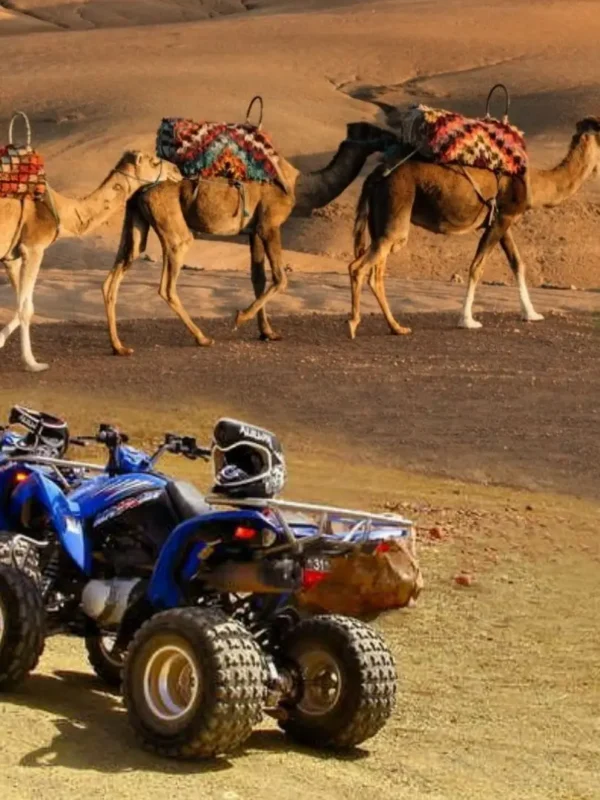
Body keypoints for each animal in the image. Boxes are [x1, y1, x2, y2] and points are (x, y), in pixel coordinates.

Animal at [0, 151, 181, 372]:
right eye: (154, 162)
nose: (177, 171)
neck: (61, 210)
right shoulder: (34, 247)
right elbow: (25, 309)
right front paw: (33, 363)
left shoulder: (12, 256)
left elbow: (26, 305)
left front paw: (0, 341)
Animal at [102, 122, 397, 355]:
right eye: (374, 130)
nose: (393, 137)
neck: (299, 186)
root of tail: (143, 189)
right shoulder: (270, 223)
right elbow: (280, 277)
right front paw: (240, 317)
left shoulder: (254, 230)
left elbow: (259, 278)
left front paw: (267, 332)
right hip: (172, 225)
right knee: (168, 281)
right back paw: (202, 338)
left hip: (136, 219)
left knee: (120, 268)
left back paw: (119, 346)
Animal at [346, 116, 600, 338]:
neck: (534, 183)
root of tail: (375, 175)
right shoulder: (503, 217)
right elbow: (477, 266)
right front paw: (467, 320)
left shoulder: (502, 219)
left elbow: (517, 263)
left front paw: (531, 314)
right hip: (396, 205)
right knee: (359, 266)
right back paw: (354, 324)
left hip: (381, 218)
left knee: (376, 272)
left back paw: (397, 327)